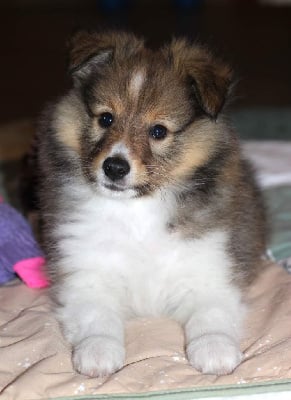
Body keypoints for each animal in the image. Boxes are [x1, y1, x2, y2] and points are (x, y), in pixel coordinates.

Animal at [38, 31, 266, 378]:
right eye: (105, 118)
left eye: (158, 131)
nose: (114, 167)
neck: (137, 210)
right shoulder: (85, 272)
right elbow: (96, 317)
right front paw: (98, 354)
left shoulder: (210, 267)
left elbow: (211, 315)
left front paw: (215, 352)